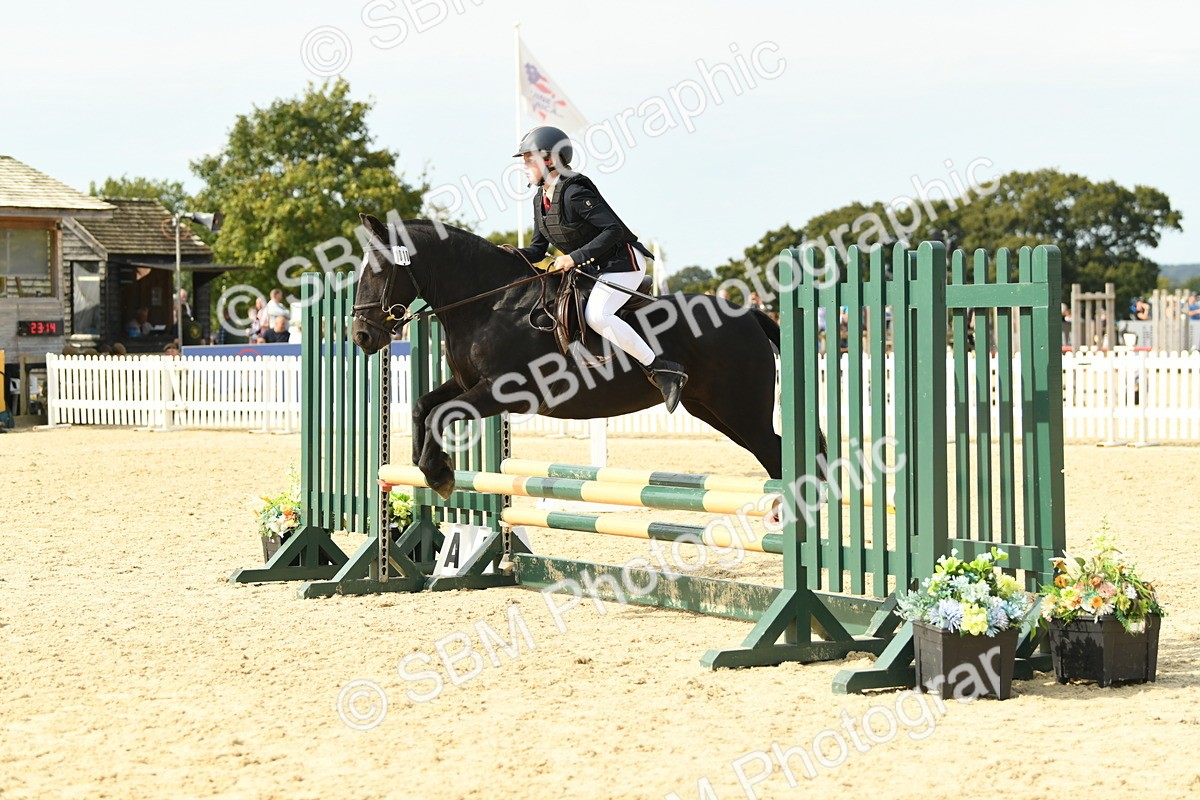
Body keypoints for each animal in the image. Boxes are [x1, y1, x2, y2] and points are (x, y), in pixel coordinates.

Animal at [351, 214, 806, 500]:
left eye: (380, 269)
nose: (361, 335)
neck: (491, 303)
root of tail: (748, 314)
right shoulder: (468, 384)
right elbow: (424, 407)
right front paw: (426, 464)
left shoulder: (503, 391)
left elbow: (439, 414)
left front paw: (439, 473)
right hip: (713, 411)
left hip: (741, 410)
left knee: (781, 459)